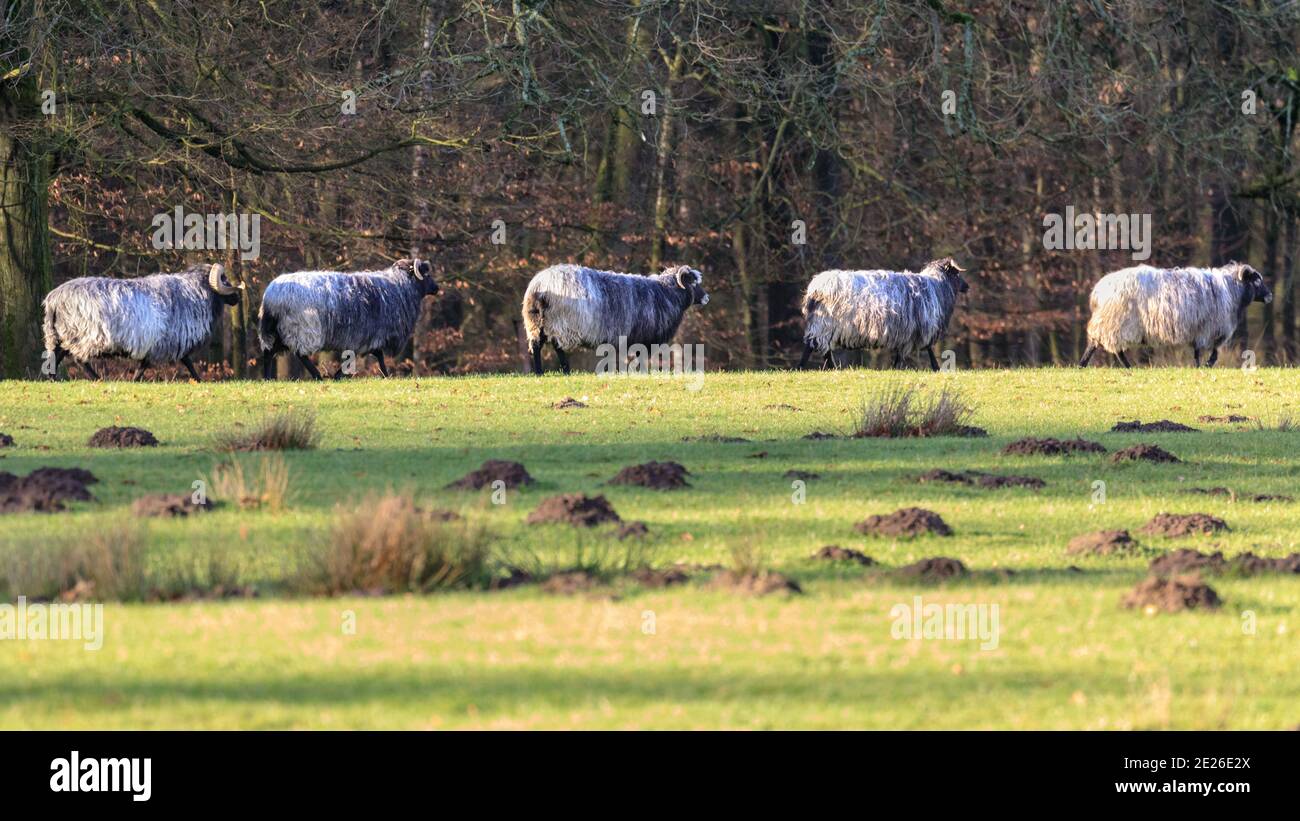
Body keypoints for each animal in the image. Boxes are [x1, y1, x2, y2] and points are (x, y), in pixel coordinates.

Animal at [42, 262, 244, 381]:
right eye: (224, 279)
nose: (236, 298)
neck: (194, 292)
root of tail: (54, 299)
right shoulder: (166, 341)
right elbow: (183, 362)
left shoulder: (163, 342)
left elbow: (182, 362)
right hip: (85, 335)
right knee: (78, 358)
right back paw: (97, 378)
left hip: (62, 334)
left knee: (57, 355)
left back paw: (53, 379)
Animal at [258, 254, 441, 379]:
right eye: (426, 274)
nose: (437, 288)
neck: (400, 286)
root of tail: (271, 296)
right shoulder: (373, 334)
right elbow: (377, 355)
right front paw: (386, 375)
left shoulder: (367, 335)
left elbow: (372, 354)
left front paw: (338, 375)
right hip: (303, 328)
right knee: (300, 354)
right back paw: (317, 376)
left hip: (279, 330)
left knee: (268, 352)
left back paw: (267, 378)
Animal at [514, 262, 707, 374]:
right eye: (693, 282)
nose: (707, 298)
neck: (666, 293)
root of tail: (539, 286)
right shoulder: (643, 337)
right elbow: (641, 356)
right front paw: (640, 372)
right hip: (560, 321)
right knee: (556, 346)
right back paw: (560, 370)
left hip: (536, 323)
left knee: (537, 345)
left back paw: (544, 372)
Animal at [795, 258, 972, 371]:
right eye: (957, 273)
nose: (968, 286)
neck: (937, 286)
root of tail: (816, 288)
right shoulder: (921, 326)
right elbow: (928, 349)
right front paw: (935, 367)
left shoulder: (907, 331)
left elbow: (903, 353)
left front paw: (895, 368)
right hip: (824, 323)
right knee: (812, 346)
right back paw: (801, 368)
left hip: (825, 325)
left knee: (823, 349)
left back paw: (833, 369)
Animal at [1081, 262, 1274, 368]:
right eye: (1257, 281)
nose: (1270, 295)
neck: (1231, 290)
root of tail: (1098, 290)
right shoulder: (1206, 329)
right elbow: (1210, 354)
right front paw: (1204, 366)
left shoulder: (1200, 330)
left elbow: (1203, 353)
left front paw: (1201, 366)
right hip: (1117, 323)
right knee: (1104, 345)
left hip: (1114, 323)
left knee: (1107, 346)